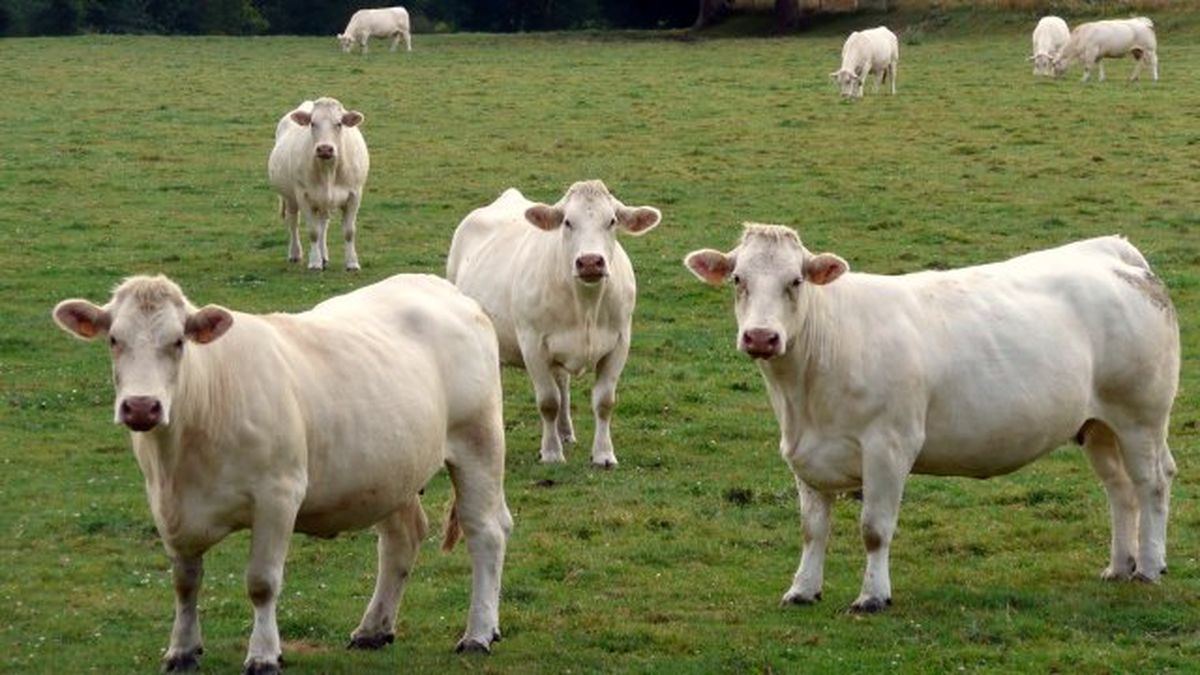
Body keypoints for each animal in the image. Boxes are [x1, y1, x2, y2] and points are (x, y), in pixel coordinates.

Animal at [52, 273, 511, 672]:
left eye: (178, 341)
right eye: (114, 340)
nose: (142, 407)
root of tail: (444, 288)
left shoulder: (278, 495)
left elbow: (262, 582)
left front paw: (263, 655)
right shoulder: (167, 505)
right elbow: (185, 583)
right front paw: (181, 650)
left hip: (478, 440)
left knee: (485, 533)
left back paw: (478, 633)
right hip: (392, 470)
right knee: (402, 538)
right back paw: (373, 629)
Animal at [270, 97, 367, 270]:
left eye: (339, 123)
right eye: (313, 123)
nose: (325, 149)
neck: (328, 170)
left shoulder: (355, 195)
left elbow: (349, 231)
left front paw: (352, 263)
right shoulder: (303, 195)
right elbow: (313, 232)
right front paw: (315, 262)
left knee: (323, 224)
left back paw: (324, 256)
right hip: (290, 198)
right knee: (293, 222)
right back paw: (295, 253)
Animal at [446, 178, 662, 466]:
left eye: (612, 221)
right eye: (567, 222)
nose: (590, 262)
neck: (585, 306)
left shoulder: (620, 342)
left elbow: (604, 401)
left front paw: (604, 454)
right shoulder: (532, 344)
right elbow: (548, 401)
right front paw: (550, 452)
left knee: (562, 381)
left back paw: (566, 432)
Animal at [686, 225, 1180, 610]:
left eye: (795, 281)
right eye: (738, 279)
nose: (761, 337)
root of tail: (1113, 253)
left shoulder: (889, 446)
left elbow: (874, 529)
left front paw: (873, 596)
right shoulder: (806, 454)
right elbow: (812, 531)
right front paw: (803, 589)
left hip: (1141, 416)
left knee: (1152, 482)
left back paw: (1149, 566)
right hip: (1098, 425)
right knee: (1119, 489)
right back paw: (1119, 566)